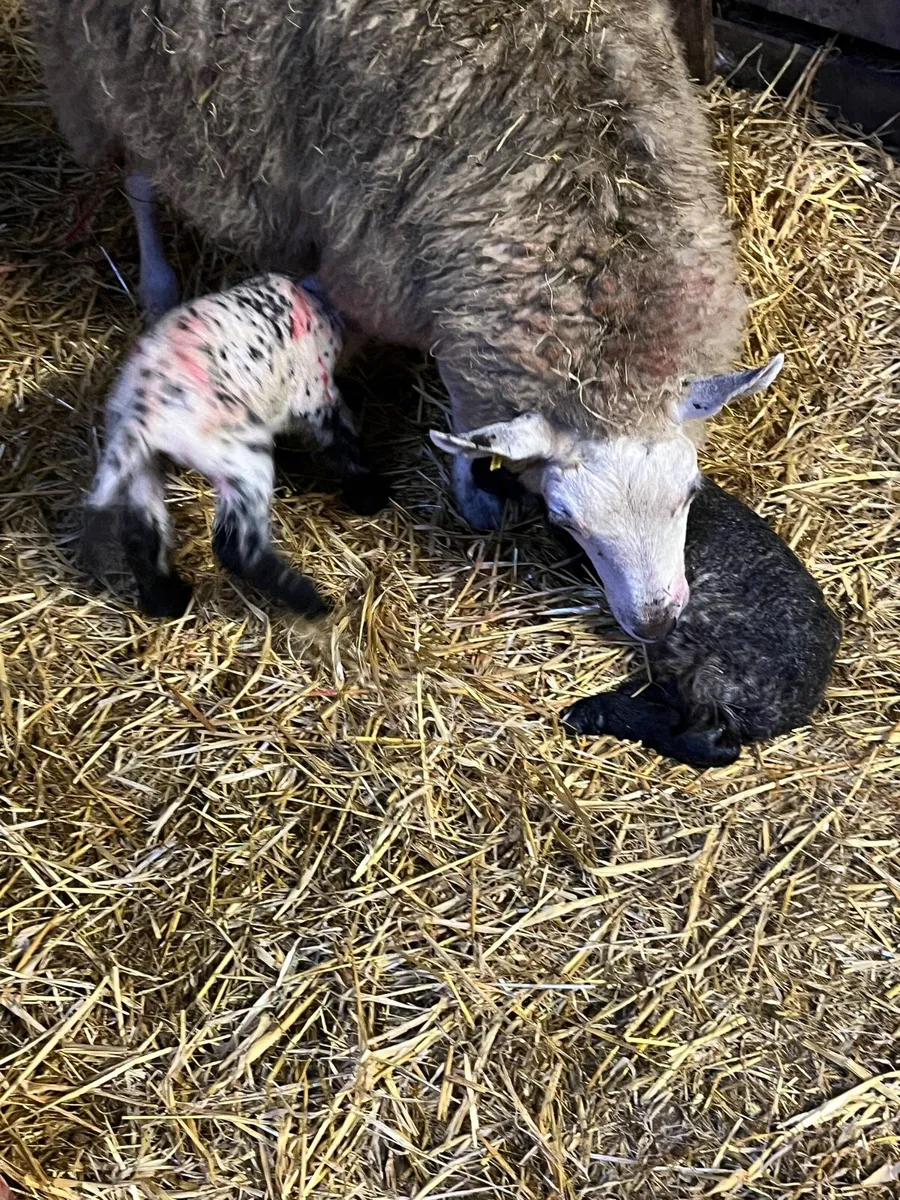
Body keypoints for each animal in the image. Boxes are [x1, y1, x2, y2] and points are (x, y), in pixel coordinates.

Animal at [83, 273, 389, 618]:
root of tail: (141, 416)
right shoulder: (315, 399)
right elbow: (343, 442)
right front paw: (369, 493)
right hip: (239, 455)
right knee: (236, 547)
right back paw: (311, 601)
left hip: (143, 466)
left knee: (142, 533)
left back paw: (168, 601)